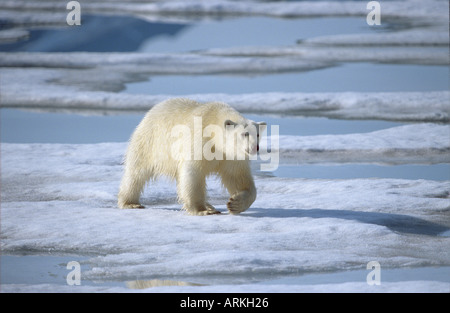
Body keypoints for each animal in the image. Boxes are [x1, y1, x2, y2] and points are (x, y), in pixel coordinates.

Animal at [118, 97, 266, 214]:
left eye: (258, 134)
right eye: (245, 134)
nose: (255, 147)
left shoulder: (231, 156)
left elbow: (237, 178)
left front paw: (235, 204)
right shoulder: (200, 141)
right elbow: (193, 173)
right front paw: (202, 210)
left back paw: (211, 205)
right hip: (151, 143)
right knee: (136, 172)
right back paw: (130, 202)